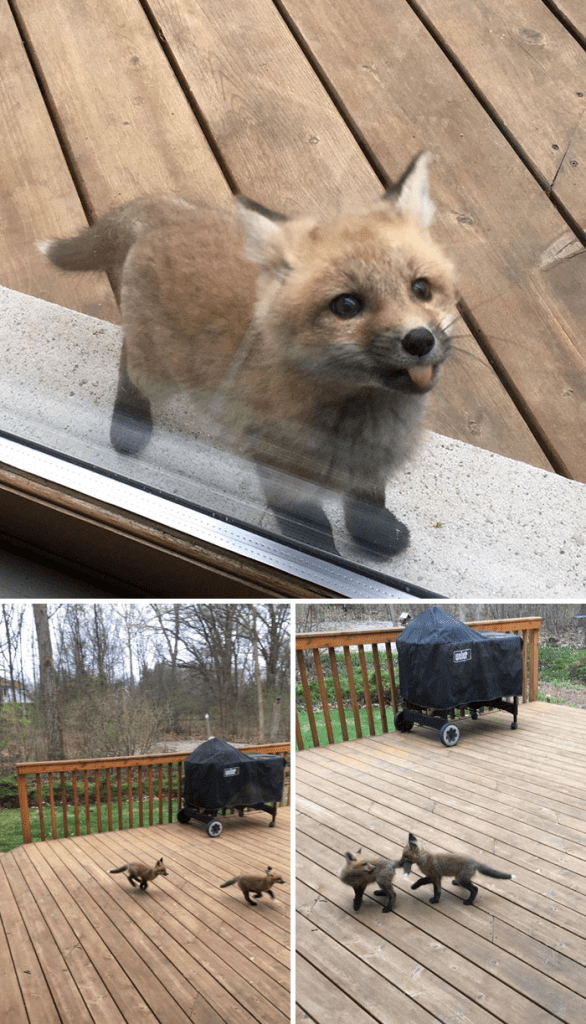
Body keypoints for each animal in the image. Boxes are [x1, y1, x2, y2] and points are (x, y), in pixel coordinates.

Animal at [41, 149, 461, 561]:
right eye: (346, 305)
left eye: (421, 289)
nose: (419, 340)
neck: (361, 421)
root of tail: (171, 213)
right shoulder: (277, 467)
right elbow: (311, 528)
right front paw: (315, 557)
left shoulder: (371, 467)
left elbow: (368, 502)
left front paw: (373, 534)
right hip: (160, 372)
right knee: (129, 363)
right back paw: (130, 422)